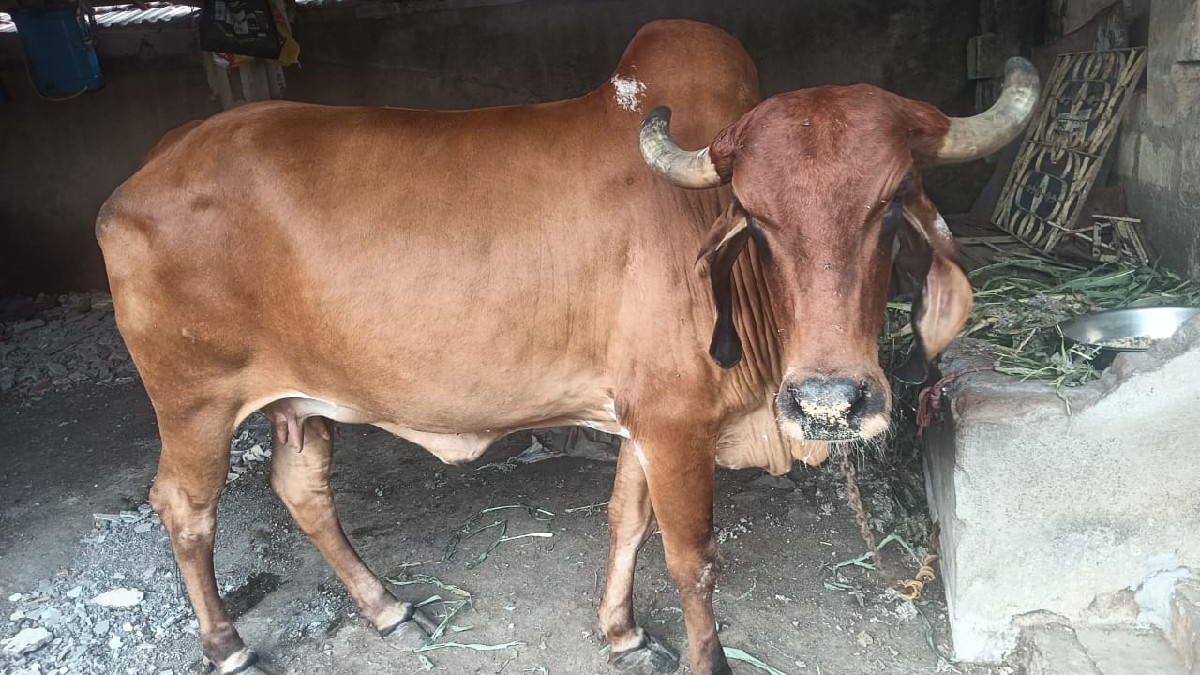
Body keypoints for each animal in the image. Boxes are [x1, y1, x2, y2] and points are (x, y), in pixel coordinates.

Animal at [96, 19, 1038, 675]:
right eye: (757, 218)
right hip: (196, 400)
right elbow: (693, 559)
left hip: (301, 400)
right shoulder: (675, 424)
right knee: (184, 507)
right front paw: (706, 656)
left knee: (302, 488)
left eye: (894, 201)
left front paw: (620, 630)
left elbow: (626, 520)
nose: (830, 401)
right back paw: (227, 642)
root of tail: (140, 176)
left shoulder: (647, 417)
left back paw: (387, 606)